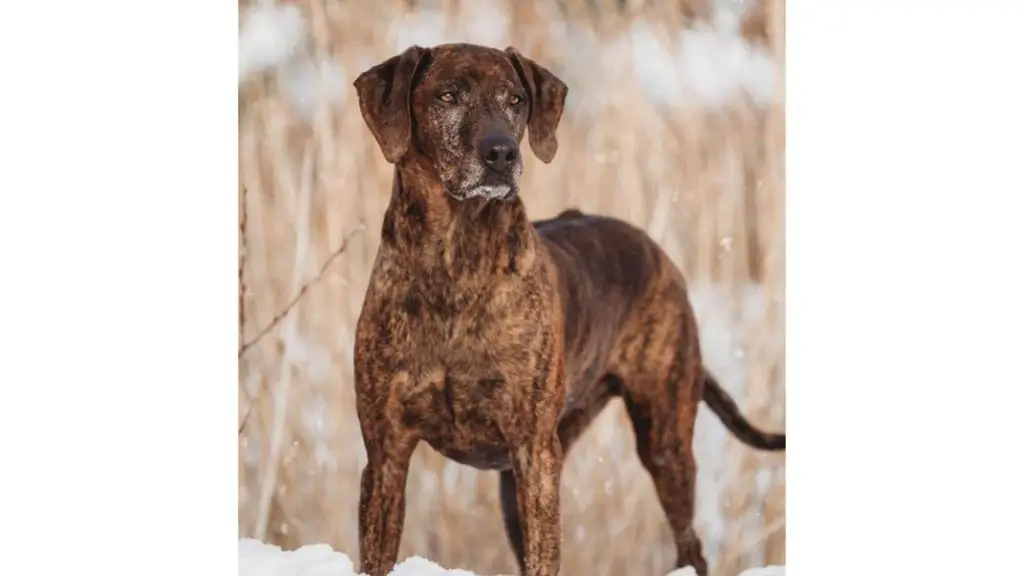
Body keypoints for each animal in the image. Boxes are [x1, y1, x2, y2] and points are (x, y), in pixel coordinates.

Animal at [352, 41, 782, 573]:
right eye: (447, 95)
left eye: (515, 99)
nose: (502, 152)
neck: (454, 256)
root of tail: (658, 253)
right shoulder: (385, 453)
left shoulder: (535, 453)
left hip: (664, 439)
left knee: (690, 544)